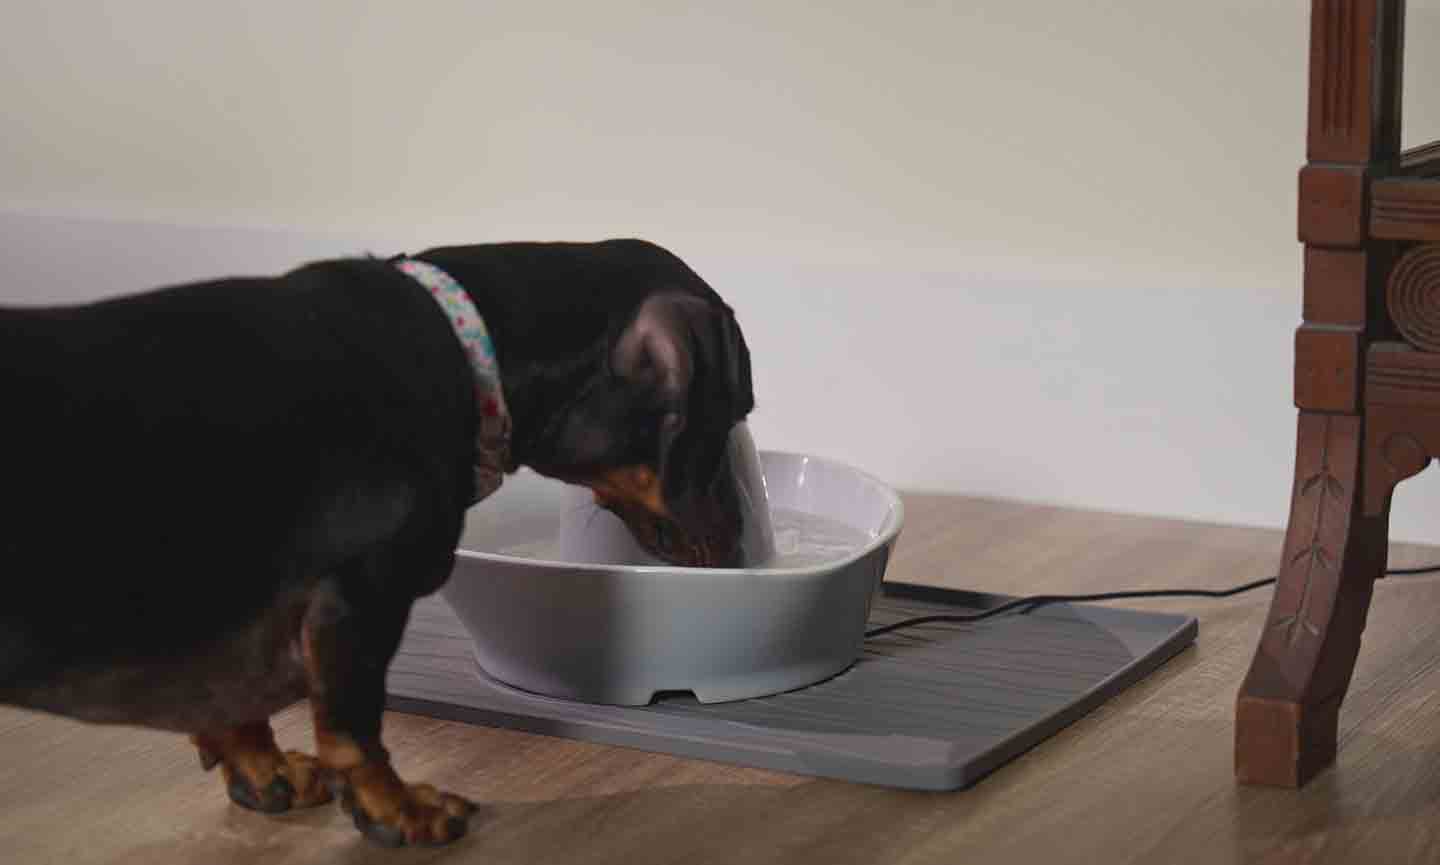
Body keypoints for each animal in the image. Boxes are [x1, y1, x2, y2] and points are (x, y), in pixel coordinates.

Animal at [0, 238, 760, 846]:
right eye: (734, 410)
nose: (743, 553)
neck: (464, 347)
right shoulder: (361, 590)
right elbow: (355, 721)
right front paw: (397, 810)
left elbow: (239, 704)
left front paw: (263, 771)